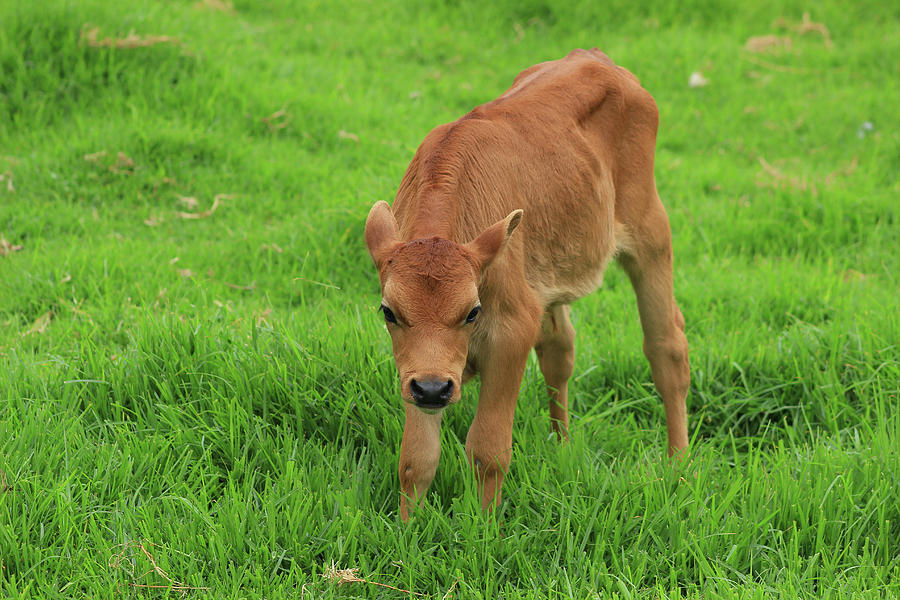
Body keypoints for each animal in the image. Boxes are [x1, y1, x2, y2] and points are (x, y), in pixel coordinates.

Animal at [364, 48, 688, 520]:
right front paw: (407, 531)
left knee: (667, 347)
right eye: (389, 311)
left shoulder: (512, 328)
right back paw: (563, 447)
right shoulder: (417, 370)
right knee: (559, 348)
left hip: (650, 230)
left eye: (473, 311)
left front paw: (484, 528)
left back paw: (679, 467)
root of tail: (595, 57)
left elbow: (488, 449)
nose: (433, 389)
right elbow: (416, 459)